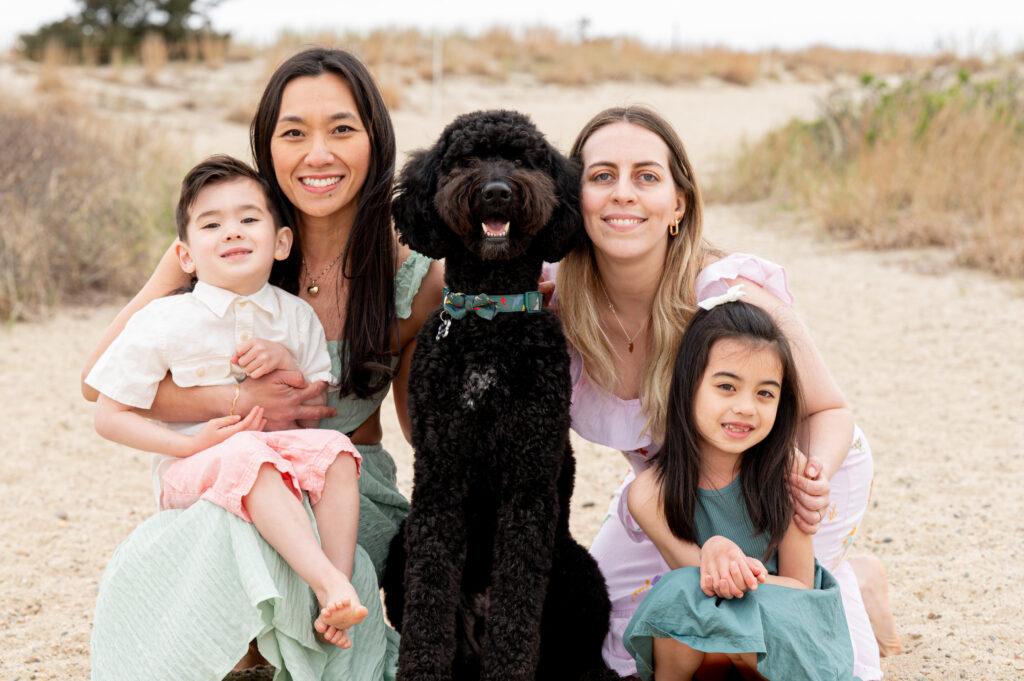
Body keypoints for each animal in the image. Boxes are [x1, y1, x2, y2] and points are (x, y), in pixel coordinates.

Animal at [382, 111, 614, 679]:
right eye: (464, 160)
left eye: (522, 160)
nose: (496, 192)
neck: (490, 318)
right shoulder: (440, 477)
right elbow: (429, 593)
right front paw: (420, 669)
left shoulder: (528, 481)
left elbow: (518, 600)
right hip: (400, 545)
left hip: (580, 572)